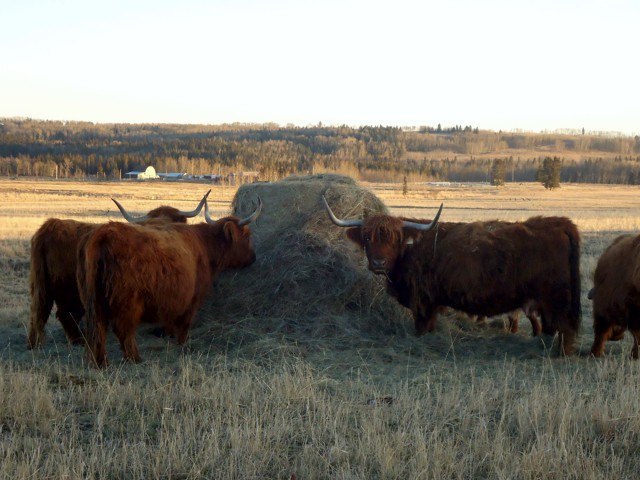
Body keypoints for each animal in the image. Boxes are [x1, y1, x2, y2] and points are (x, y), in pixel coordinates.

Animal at [27, 192, 209, 348]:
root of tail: (52, 225)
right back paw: (79, 340)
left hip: (41, 285)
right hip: (68, 289)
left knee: (40, 313)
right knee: (65, 313)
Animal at [79, 197, 262, 366]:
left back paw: (101, 363)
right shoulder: (190, 300)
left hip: (94, 300)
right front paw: (182, 345)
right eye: (247, 235)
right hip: (127, 302)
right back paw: (135, 359)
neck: (204, 244)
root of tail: (104, 232)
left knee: (98, 328)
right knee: (124, 330)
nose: (253, 258)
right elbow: (183, 326)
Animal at [322, 196, 584, 356]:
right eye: (367, 237)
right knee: (550, 327)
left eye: (395, 239)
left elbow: (421, 327)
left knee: (565, 327)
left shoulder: (422, 302)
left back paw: (560, 355)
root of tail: (559, 223)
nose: (378, 263)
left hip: (556, 297)